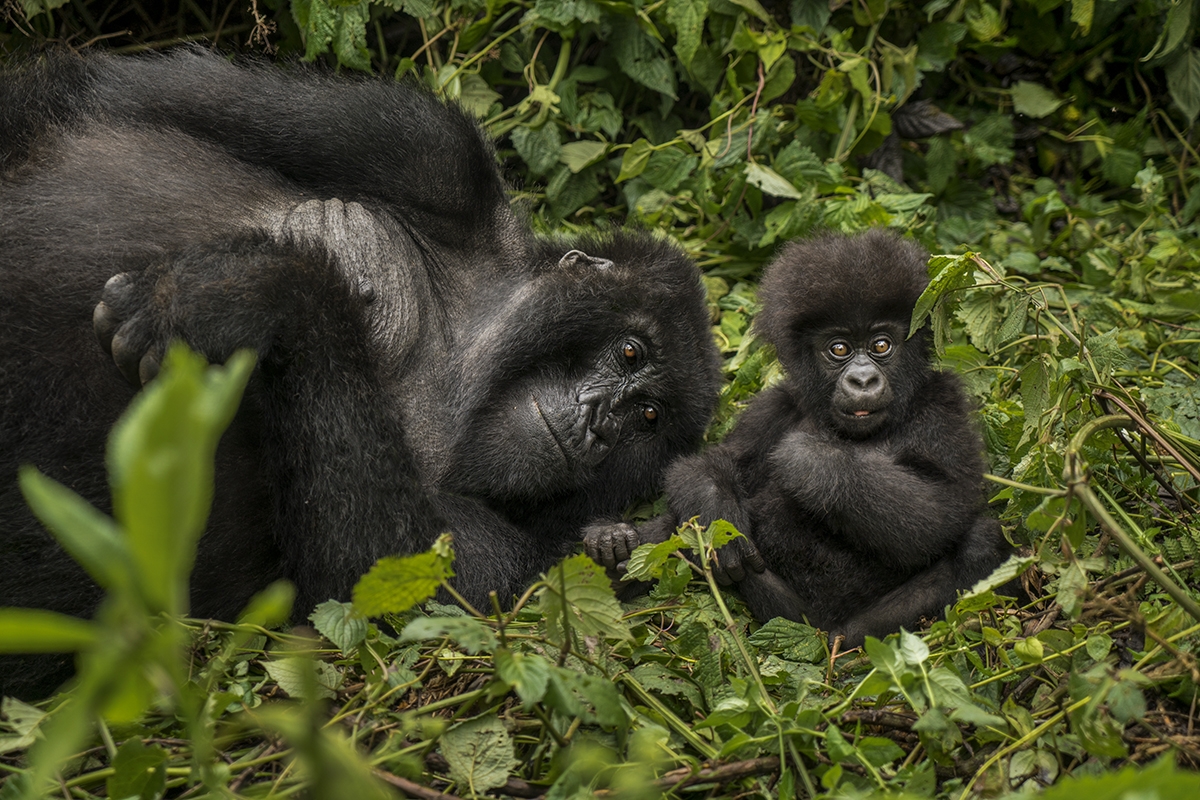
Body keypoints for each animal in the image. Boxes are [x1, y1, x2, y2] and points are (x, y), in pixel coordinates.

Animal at [2, 48, 720, 695]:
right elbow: (98, 96)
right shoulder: (432, 152)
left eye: (647, 418)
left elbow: (373, 586)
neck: (463, 361)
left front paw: (265, 292)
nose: (600, 425)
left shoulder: (527, 564)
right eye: (630, 353)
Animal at [583, 227, 1012, 647]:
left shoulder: (942, 402)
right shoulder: (776, 404)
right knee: (681, 528)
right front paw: (718, 512)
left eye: (881, 345)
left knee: (981, 539)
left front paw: (811, 462)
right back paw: (611, 549)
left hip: (848, 629)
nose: (863, 380)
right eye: (838, 348)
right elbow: (710, 464)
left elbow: (946, 504)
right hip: (786, 613)